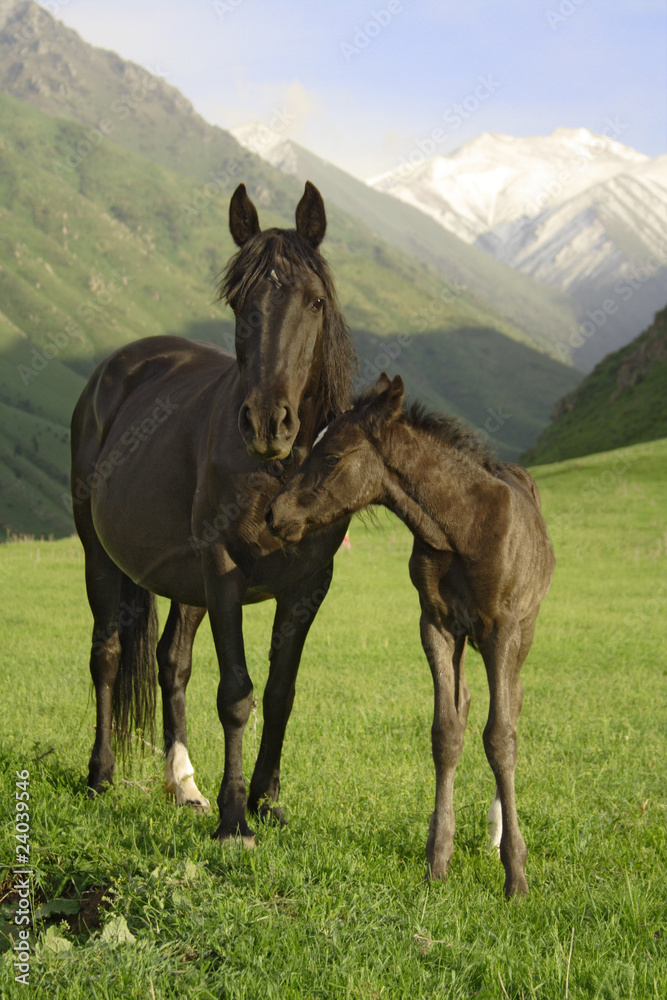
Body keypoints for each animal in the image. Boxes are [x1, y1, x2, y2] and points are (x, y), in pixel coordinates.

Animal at [70, 181, 357, 844]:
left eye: (315, 301)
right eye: (238, 302)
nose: (268, 423)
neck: (282, 473)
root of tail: (115, 369)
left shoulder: (309, 584)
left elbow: (279, 692)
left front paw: (266, 801)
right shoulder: (224, 567)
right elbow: (236, 694)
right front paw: (234, 818)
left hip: (186, 581)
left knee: (170, 663)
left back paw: (184, 785)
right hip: (101, 555)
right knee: (107, 654)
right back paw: (101, 775)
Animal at [266, 373, 555, 896]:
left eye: (332, 457)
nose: (274, 515)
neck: (460, 530)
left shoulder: (502, 628)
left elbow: (501, 736)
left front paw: (516, 875)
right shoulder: (436, 624)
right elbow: (447, 732)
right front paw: (437, 861)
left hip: (525, 629)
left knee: (514, 701)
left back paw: (497, 834)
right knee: (466, 701)